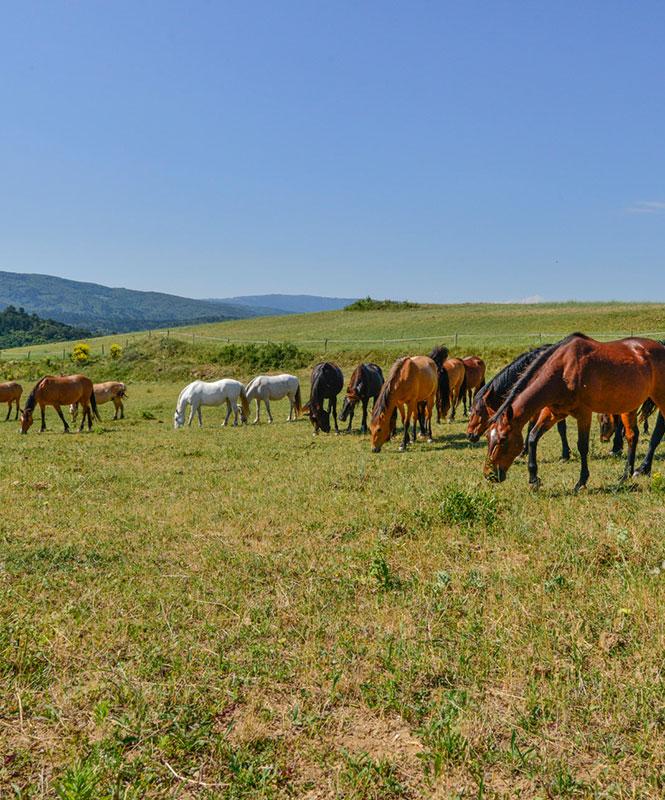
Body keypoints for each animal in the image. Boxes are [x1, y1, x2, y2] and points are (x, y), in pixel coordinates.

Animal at [482, 334, 665, 490]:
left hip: (660, 398)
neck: (564, 370)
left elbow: (582, 446)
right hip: (630, 405)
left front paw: (581, 481)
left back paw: (641, 469)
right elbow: (533, 437)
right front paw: (534, 479)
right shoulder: (554, 413)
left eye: (503, 440)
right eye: (488, 438)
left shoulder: (584, 414)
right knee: (632, 436)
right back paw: (626, 475)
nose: (489, 474)